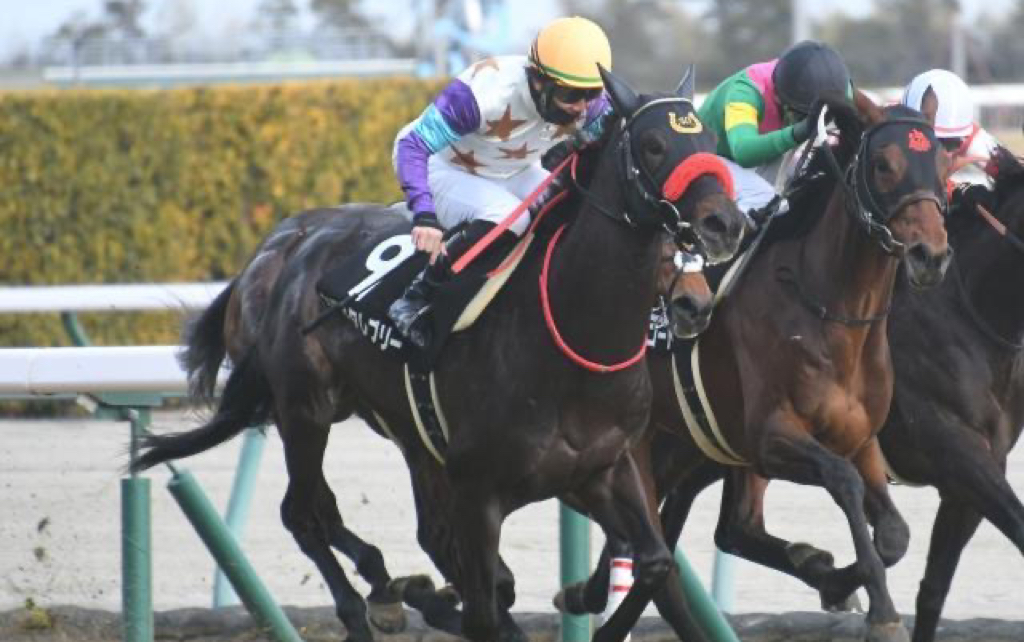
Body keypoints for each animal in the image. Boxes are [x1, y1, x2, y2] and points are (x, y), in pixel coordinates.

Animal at [130, 65, 747, 642]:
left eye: (708, 140)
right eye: (654, 145)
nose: (724, 223)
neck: (572, 341)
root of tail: (286, 252)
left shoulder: (603, 469)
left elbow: (654, 562)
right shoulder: (478, 493)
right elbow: (486, 609)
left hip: (396, 428)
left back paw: (389, 587)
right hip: (306, 411)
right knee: (303, 514)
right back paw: (366, 605)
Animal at [557, 100, 953, 642]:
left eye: (943, 166)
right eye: (883, 165)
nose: (930, 255)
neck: (829, 310)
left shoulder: (860, 438)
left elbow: (894, 534)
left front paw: (834, 578)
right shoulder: (770, 436)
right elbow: (843, 481)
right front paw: (879, 608)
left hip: (689, 447)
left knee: (700, 536)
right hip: (638, 444)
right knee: (657, 553)